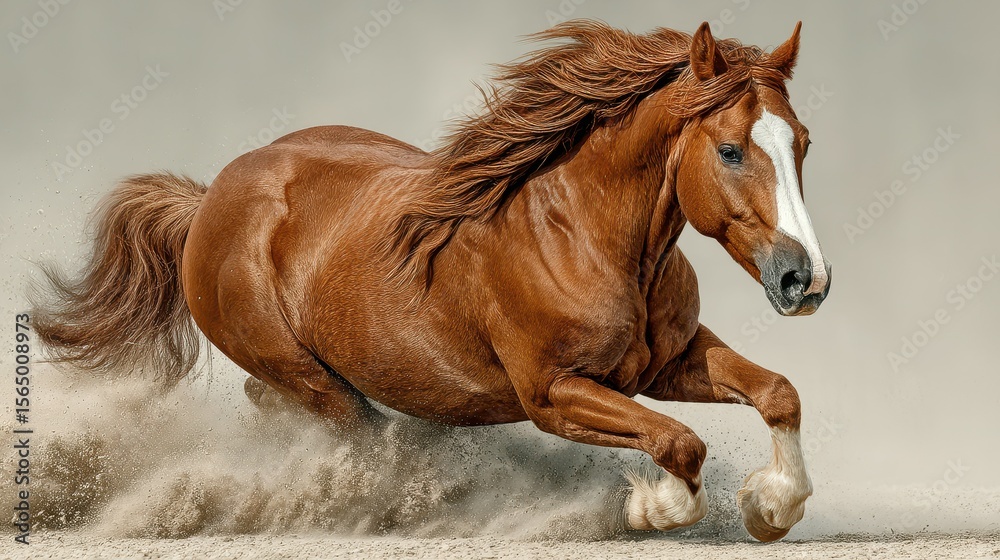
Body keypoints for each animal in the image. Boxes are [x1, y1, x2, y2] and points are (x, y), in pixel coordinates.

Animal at [33, 20, 831, 541]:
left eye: (801, 142)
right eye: (730, 150)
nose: (805, 280)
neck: (581, 235)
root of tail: (208, 203)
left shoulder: (668, 363)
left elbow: (778, 393)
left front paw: (771, 507)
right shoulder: (553, 393)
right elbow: (679, 444)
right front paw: (652, 509)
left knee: (279, 407)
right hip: (310, 376)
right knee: (340, 427)